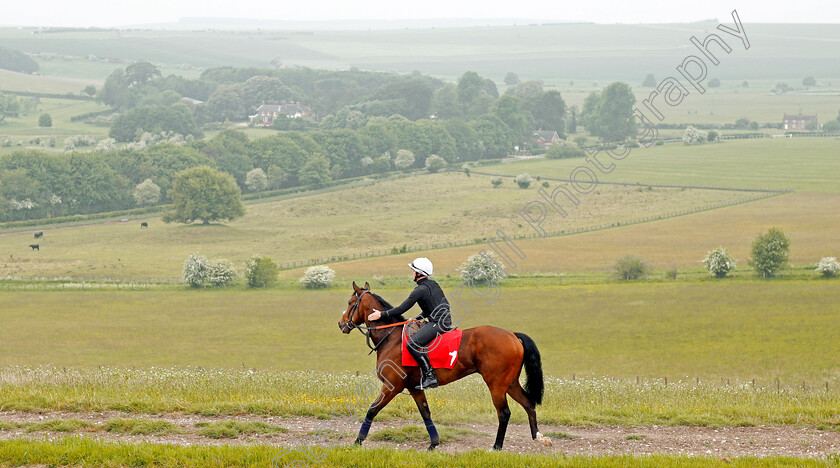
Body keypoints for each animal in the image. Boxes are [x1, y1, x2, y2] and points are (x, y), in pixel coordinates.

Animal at [336, 282, 552, 450]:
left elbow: (372, 410)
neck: (391, 337)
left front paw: (358, 441)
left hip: (496, 385)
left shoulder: (391, 386)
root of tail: (512, 335)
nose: (341, 324)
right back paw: (539, 438)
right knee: (528, 404)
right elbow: (425, 414)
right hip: (510, 383)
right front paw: (434, 443)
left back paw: (497, 446)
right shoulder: (414, 388)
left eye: (350, 303)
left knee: (504, 413)